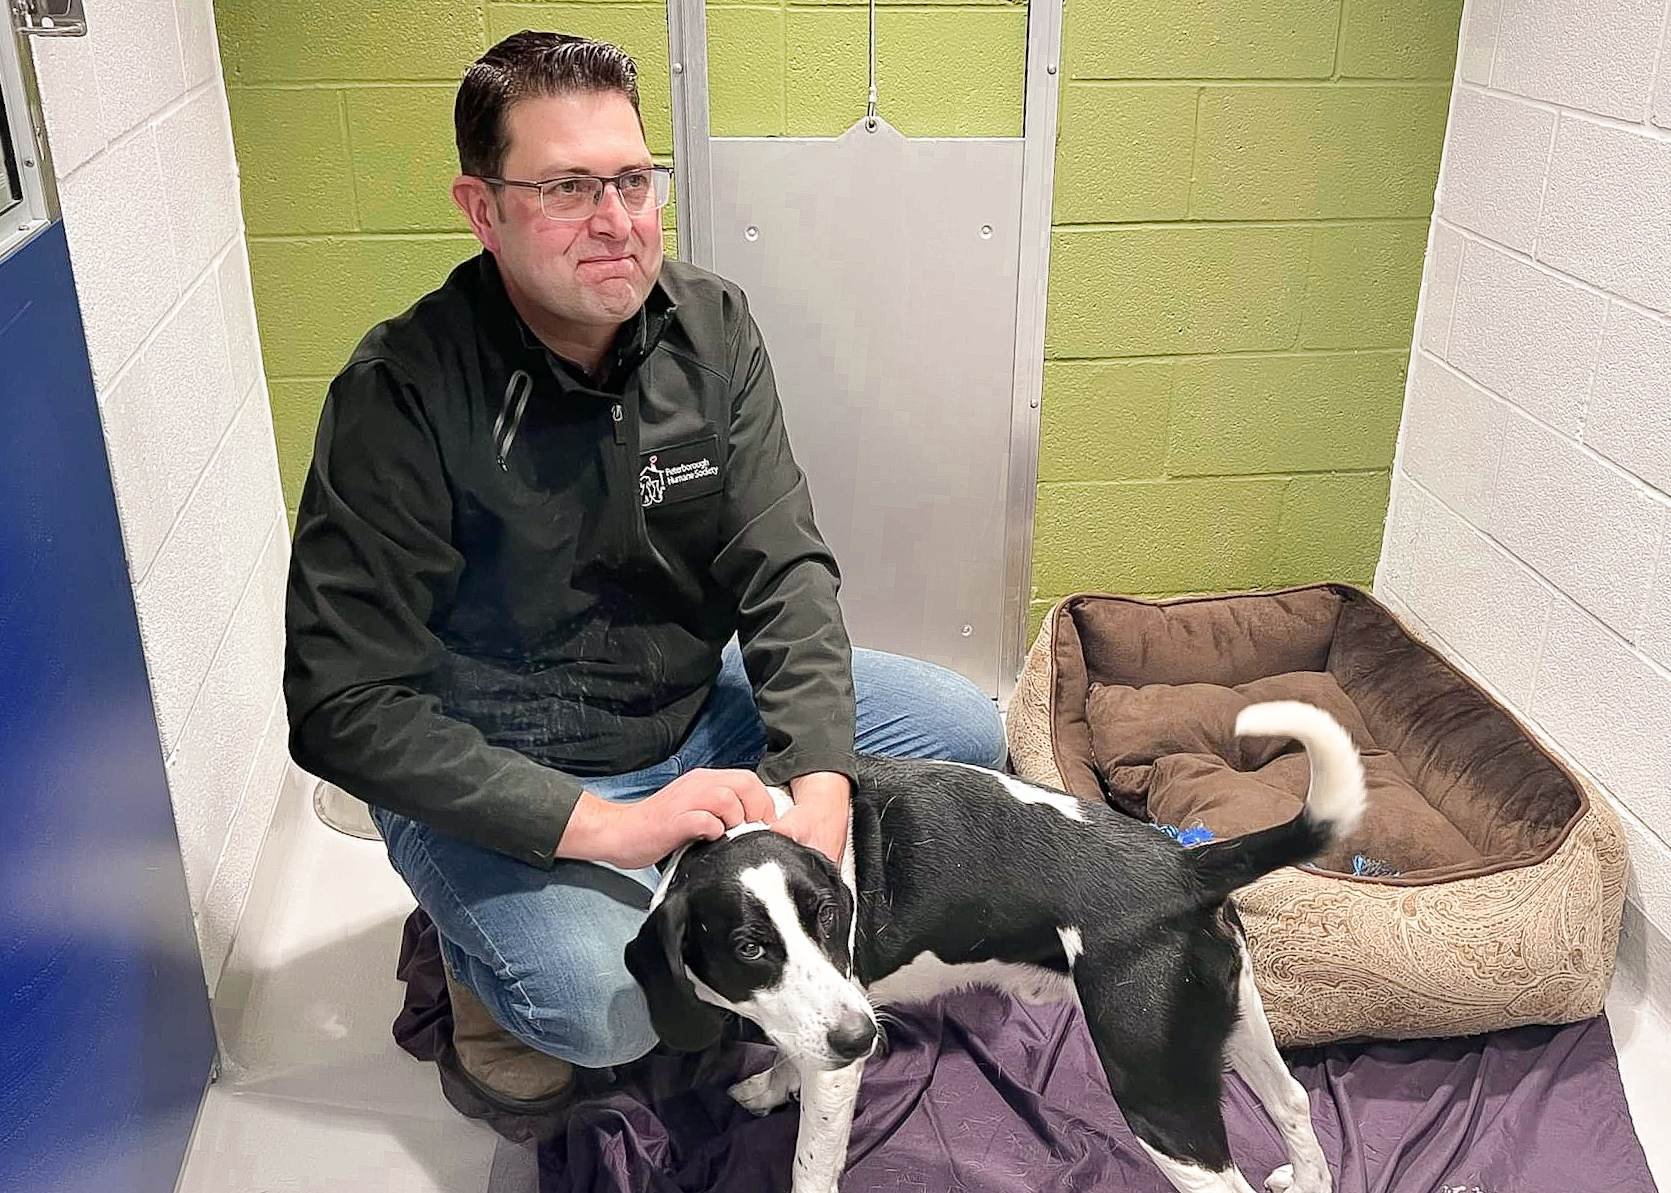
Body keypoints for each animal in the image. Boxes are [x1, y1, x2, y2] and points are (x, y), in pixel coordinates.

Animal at [628, 698, 1370, 1189]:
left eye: (831, 916)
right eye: (749, 948)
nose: (863, 1039)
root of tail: (1187, 864)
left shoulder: (838, 1063)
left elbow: (810, 1166)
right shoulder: (818, 1024)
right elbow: (792, 1048)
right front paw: (771, 1084)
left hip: (1156, 1094)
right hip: (1228, 1021)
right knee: (1292, 1100)